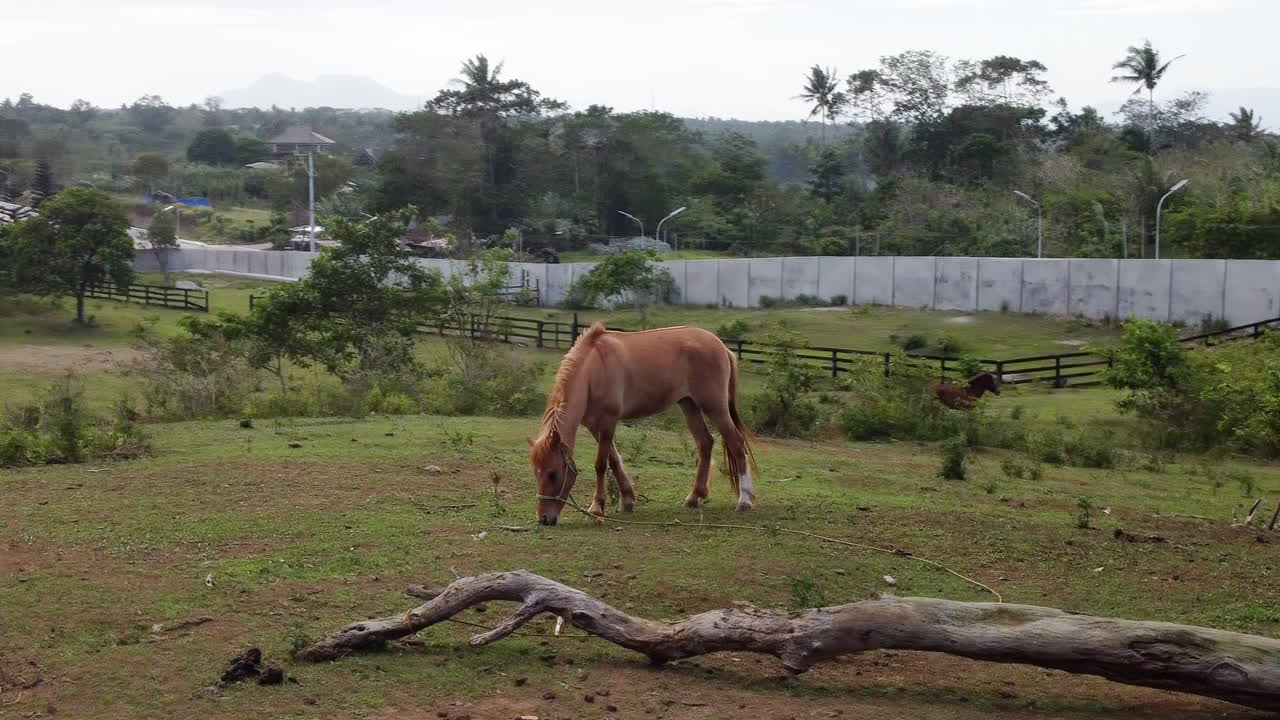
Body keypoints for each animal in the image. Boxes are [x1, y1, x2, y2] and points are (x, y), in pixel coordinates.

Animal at [528, 322, 758, 526]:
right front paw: (627, 501)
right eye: (536, 473)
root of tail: (721, 346)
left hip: (715, 407)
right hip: (689, 405)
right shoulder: (594, 425)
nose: (544, 519)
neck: (592, 370)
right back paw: (694, 497)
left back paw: (744, 501)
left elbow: (601, 464)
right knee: (705, 443)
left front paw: (596, 509)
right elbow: (614, 460)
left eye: (553, 473)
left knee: (737, 444)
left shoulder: (608, 422)